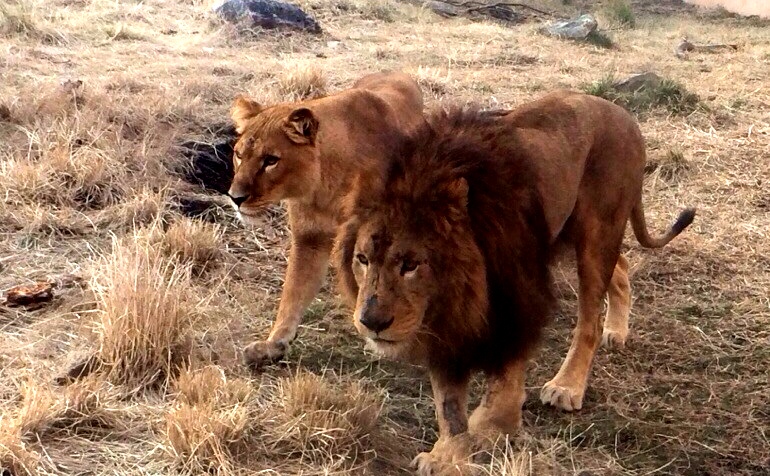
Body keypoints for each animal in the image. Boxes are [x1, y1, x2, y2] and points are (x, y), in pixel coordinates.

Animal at [225, 70, 424, 368]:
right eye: (239, 155)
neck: (325, 187)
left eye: (271, 160)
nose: (235, 197)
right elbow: (293, 293)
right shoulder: (309, 239)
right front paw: (273, 344)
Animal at [332, 91, 692, 474]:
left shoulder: (519, 300)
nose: (371, 322)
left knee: (589, 320)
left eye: (410, 264)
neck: (459, 287)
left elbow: (504, 379)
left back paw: (568, 385)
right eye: (363, 259)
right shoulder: (445, 326)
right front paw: (447, 454)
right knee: (621, 269)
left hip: (597, 235)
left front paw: (492, 426)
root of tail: (623, 114)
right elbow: (447, 402)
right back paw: (617, 331)